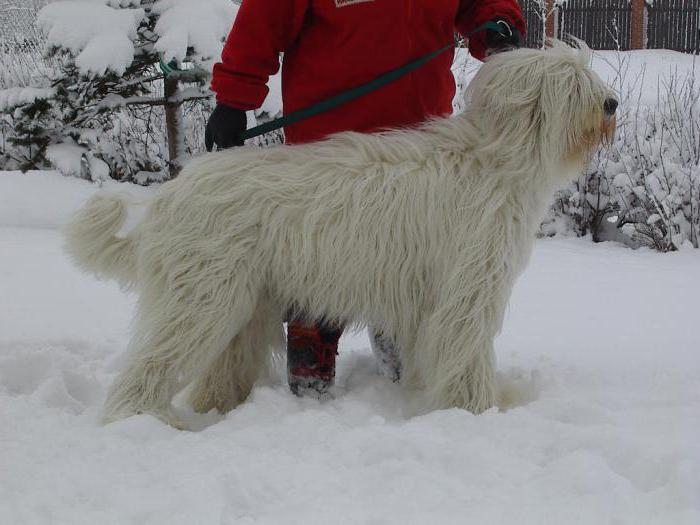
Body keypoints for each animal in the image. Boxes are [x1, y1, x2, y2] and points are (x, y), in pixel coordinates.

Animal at [65, 41, 612, 426]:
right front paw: (475, 411)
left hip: (244, 304)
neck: (495, 157)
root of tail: (169, 193)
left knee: (220, 370)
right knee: (148, 367)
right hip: (201, 298)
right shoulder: (466, 288)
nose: (611, 103)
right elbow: (465, 352)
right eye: (571, 82)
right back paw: (145, 423)